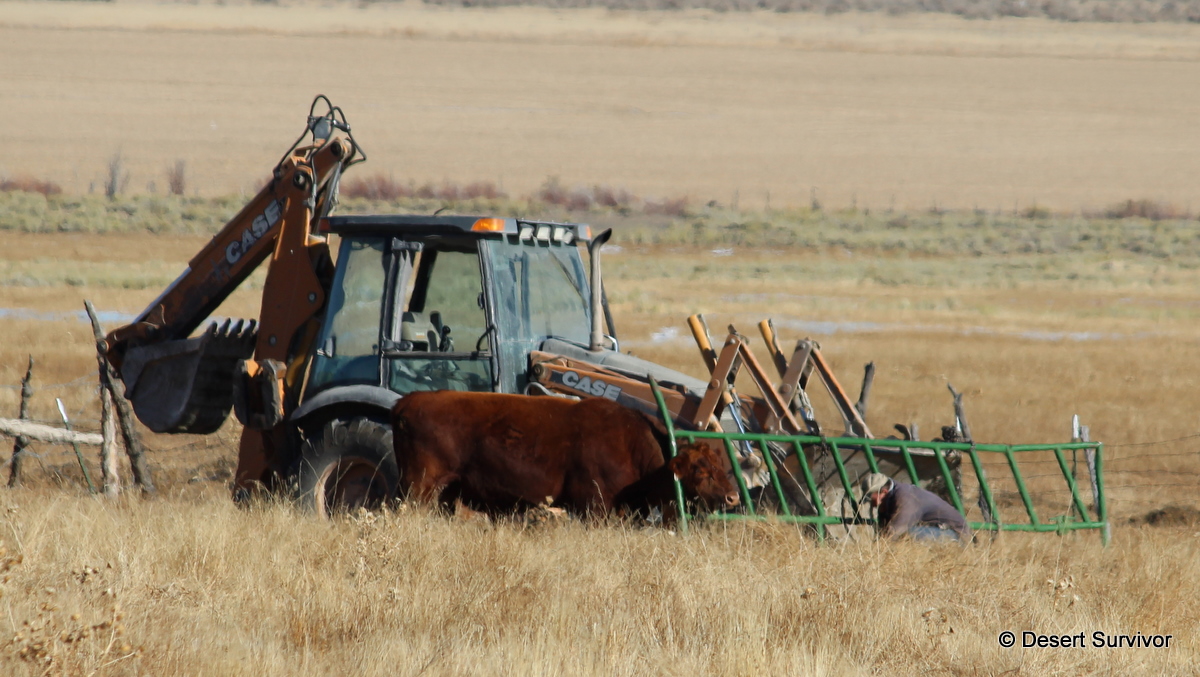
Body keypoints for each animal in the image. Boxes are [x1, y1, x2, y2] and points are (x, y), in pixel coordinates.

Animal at [390, 390, 739, 519]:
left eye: (721, 464)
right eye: (701, 470)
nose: (734, 496)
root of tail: (407, 401)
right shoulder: (597, 509)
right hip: (419, 488)